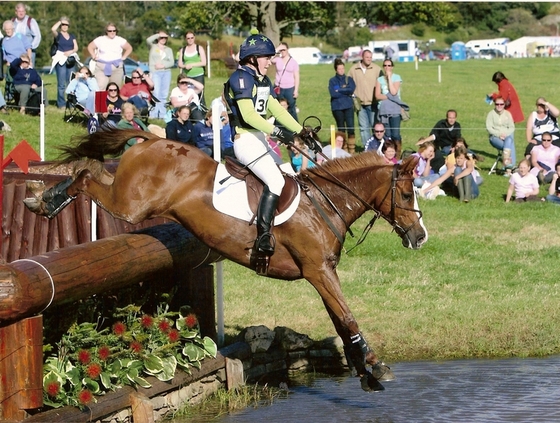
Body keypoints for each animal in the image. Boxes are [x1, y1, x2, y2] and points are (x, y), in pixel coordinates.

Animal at [24, 128, 426, 390]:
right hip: (131, 205)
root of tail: (152, 139)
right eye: (407, 194)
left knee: (92, 173)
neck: (325, 205)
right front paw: (377, 366)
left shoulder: (323, 272)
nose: (420, 237)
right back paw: (45, 199)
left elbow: (342, 321)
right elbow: (348, 315)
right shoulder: (317, 270)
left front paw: (364, 371)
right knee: (87, 176)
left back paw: (45, 197)